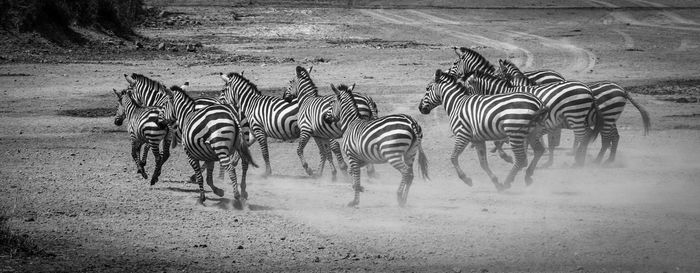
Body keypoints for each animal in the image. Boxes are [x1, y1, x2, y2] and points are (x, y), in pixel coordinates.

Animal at [418, 69, 548, 189]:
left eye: (427, 88)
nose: (420, 108)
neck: (456, 104)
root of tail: (537, 103)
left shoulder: (462, 134)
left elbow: (453, 158)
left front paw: (466, 179)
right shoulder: (477, 139)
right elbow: (483, 163)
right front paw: (495, 182)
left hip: (515, 132)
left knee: (521, 159)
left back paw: (507, 182)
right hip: (532, 132)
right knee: (539, 150)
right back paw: (527, 176)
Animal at [464, 69, 600, 166]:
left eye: (467, 89)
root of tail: (587, 88)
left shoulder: (513, 121)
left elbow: (500, 141)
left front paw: (508, 157)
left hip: (575, 115)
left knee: (582, 136)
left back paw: (578, 159)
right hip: (580, 117)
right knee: (587, 134)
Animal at [498, 59, 652, 164]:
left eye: (497, 72)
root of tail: (622, 89)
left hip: (605, 116)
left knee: (604, 138)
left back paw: (596, 159)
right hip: (610, 118)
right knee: (614, 137)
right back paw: (608, 159)